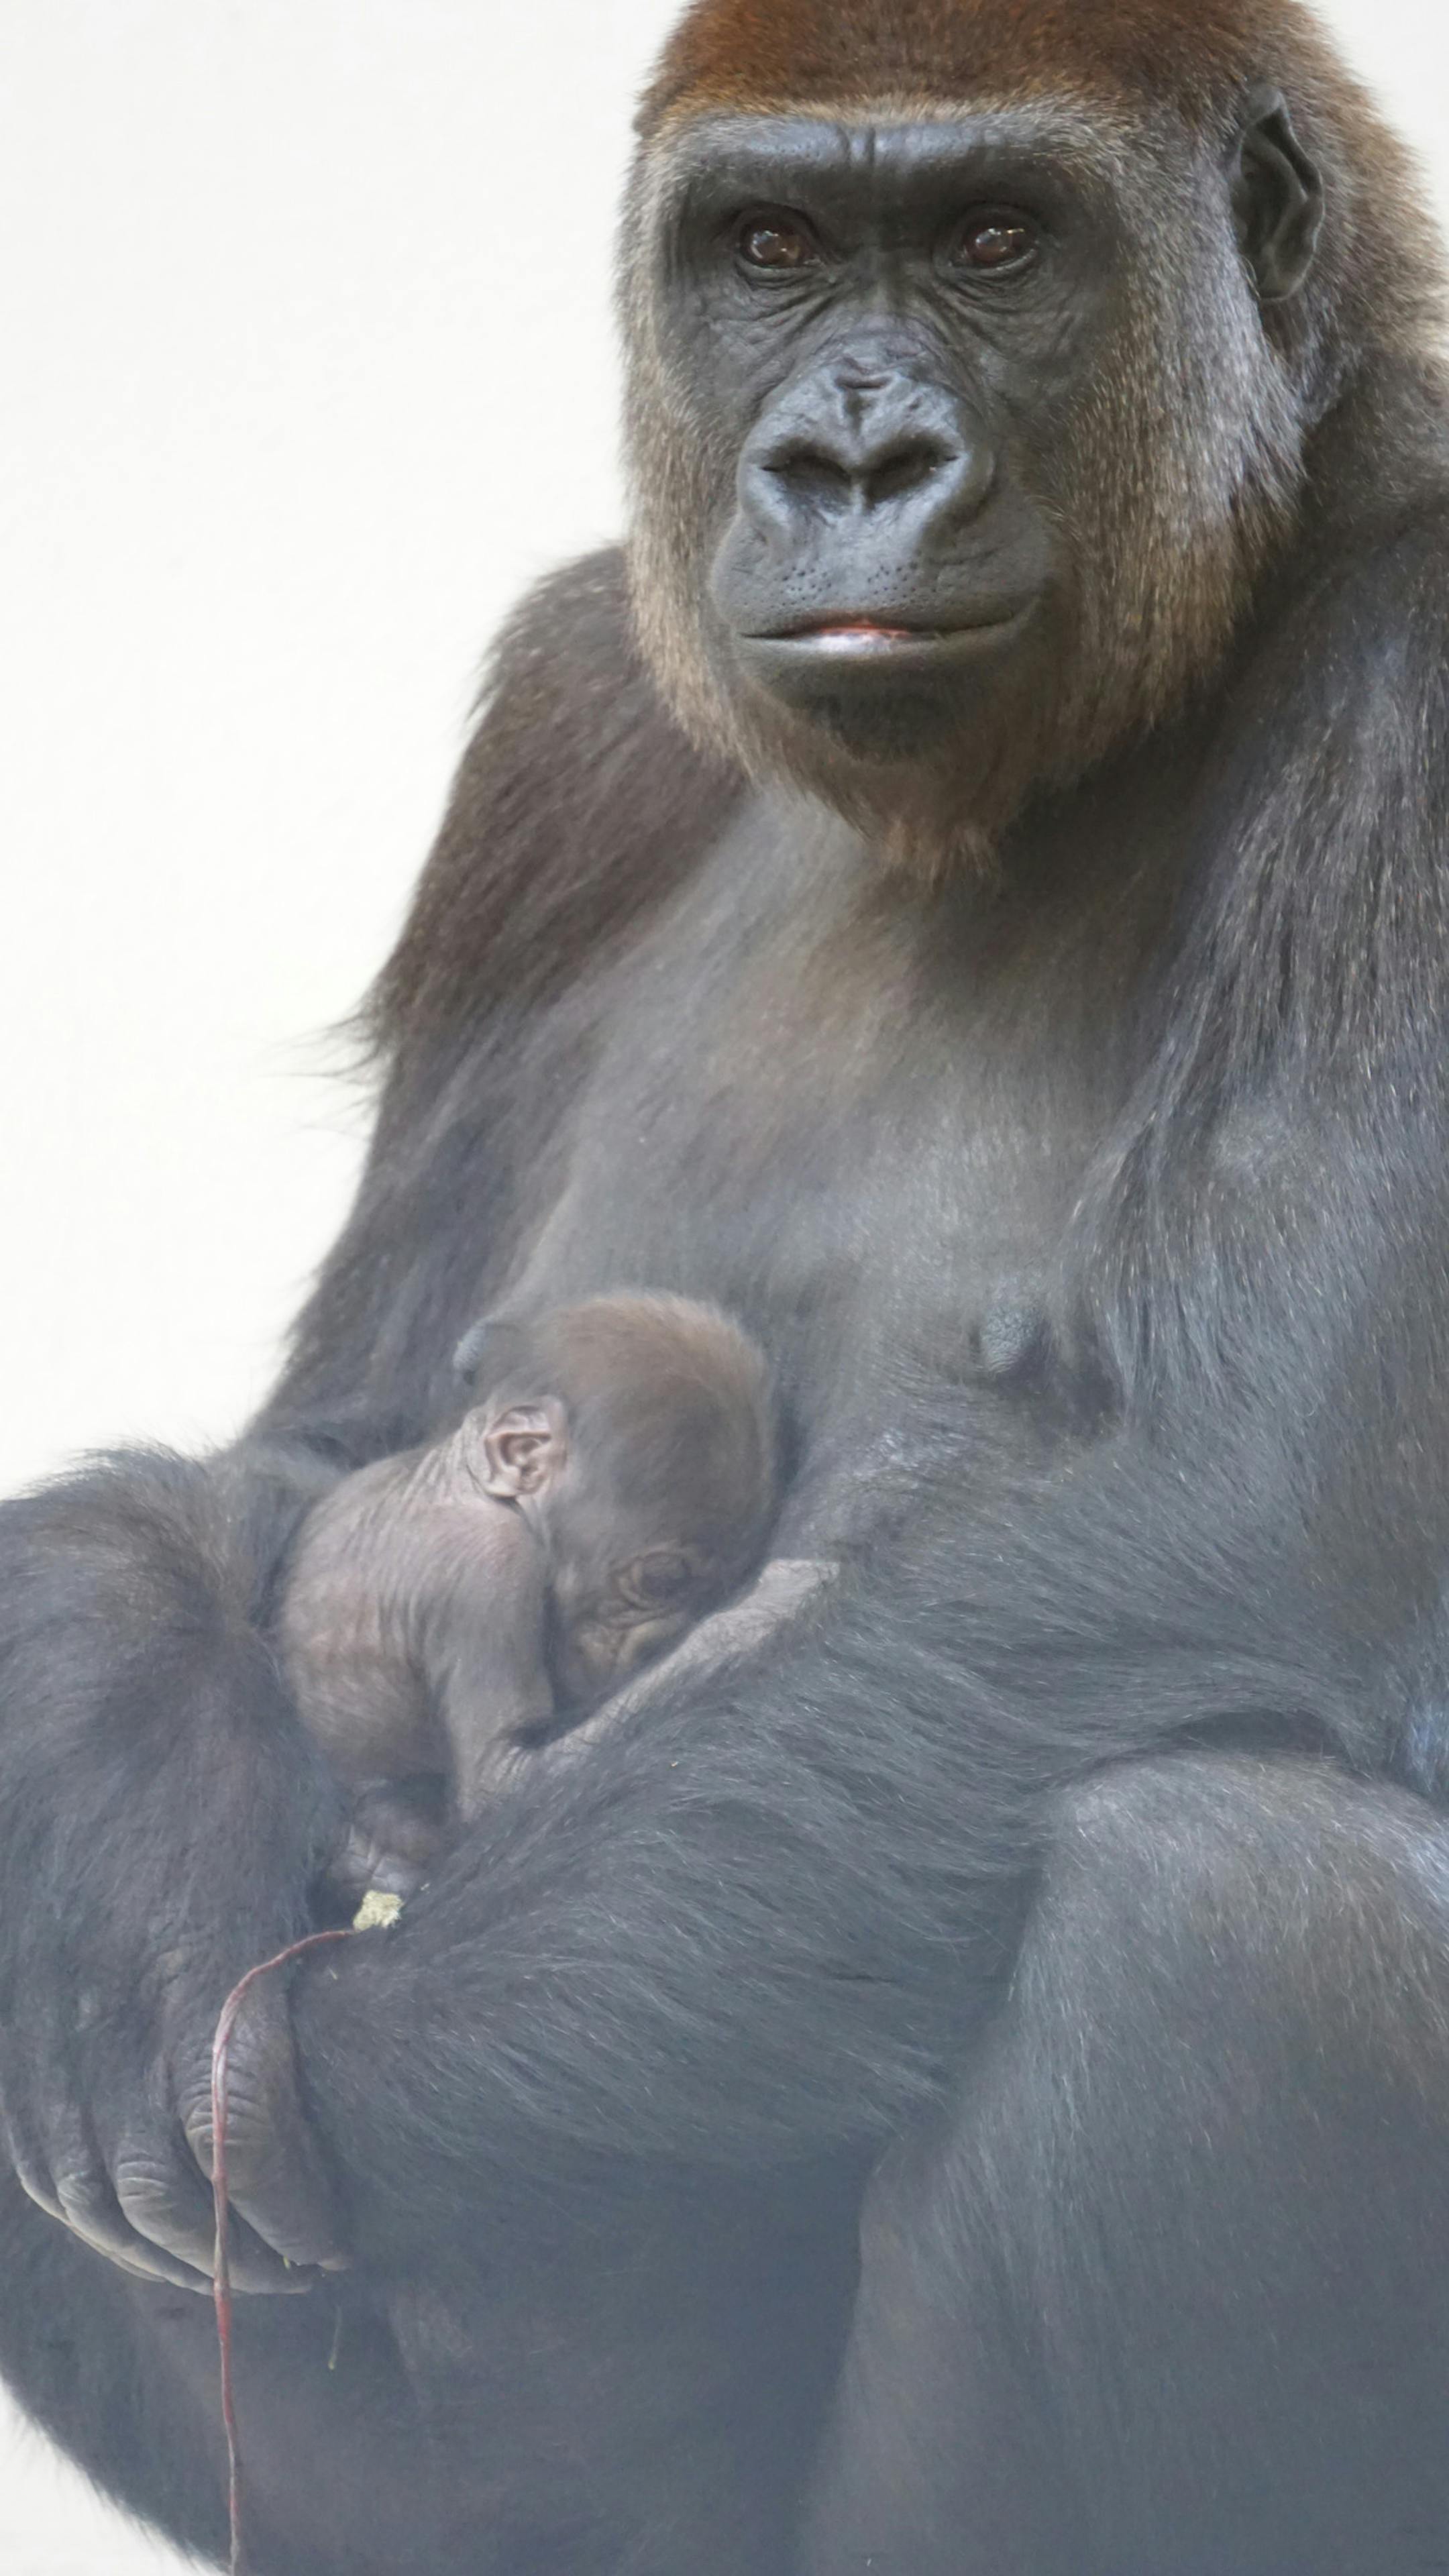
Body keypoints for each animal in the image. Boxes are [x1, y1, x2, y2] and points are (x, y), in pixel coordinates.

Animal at [279, 1294, 780, 1899]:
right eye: (664, 1581)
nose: (653, 1646)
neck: (464, 1482)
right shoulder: (489, 1576)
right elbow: (499, 1778)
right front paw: (756, 1617)